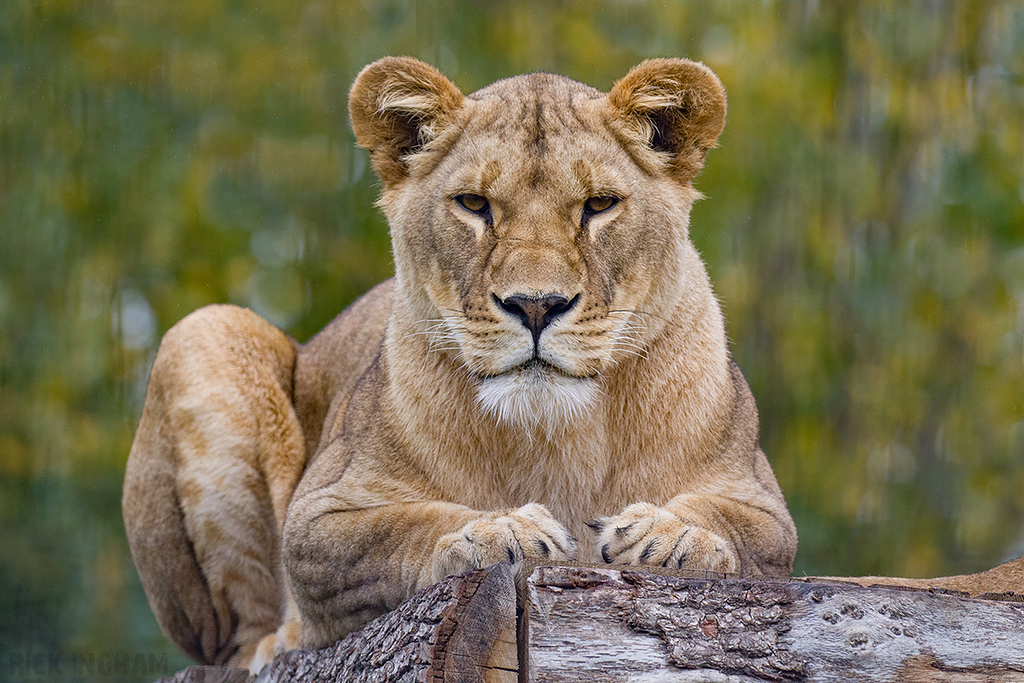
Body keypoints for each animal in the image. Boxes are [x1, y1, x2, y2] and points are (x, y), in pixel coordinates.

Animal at [122, 56, 800, 671]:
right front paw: (498, 533)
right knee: (229, 645)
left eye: (599, 204)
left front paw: (671, 536)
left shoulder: (761, 502)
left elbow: (746, 530)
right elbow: (398, 529)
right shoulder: (319, 518)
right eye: (474, 204)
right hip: (205, 329)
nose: (535, 304)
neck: (556, 434)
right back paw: (274, 645)